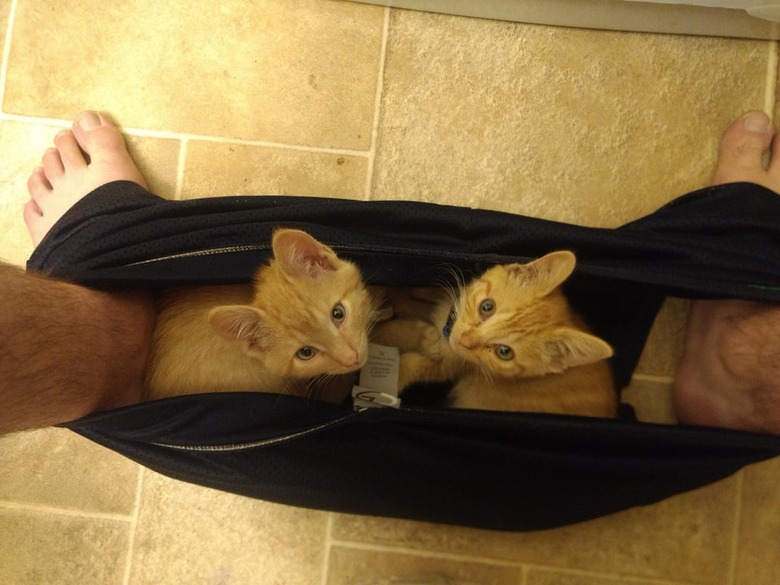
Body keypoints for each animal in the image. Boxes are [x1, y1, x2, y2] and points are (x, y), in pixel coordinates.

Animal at [372, 250, 616, 416]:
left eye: (504, 352)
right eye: (487, 307)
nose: (464, 340)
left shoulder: (450, 366)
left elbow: (415, 362)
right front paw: (399, 296)